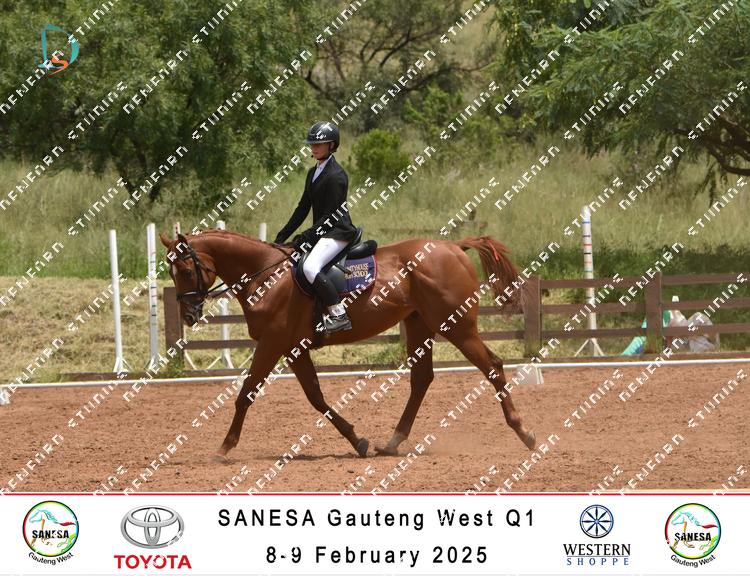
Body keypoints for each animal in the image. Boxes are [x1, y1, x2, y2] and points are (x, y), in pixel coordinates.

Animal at [159, 229, 536, 461]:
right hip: (419, 325)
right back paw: (391, 443)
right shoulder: (293, 348)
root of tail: (455, 246)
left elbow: (246, 393)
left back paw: (524, 433)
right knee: (421, 380)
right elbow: (315, 396)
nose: (190, 314)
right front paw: (358, 441)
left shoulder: (272, 343)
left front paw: (224, 447)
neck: (266, 275)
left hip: (456, 325)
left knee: (492, 366)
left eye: (186, 271)